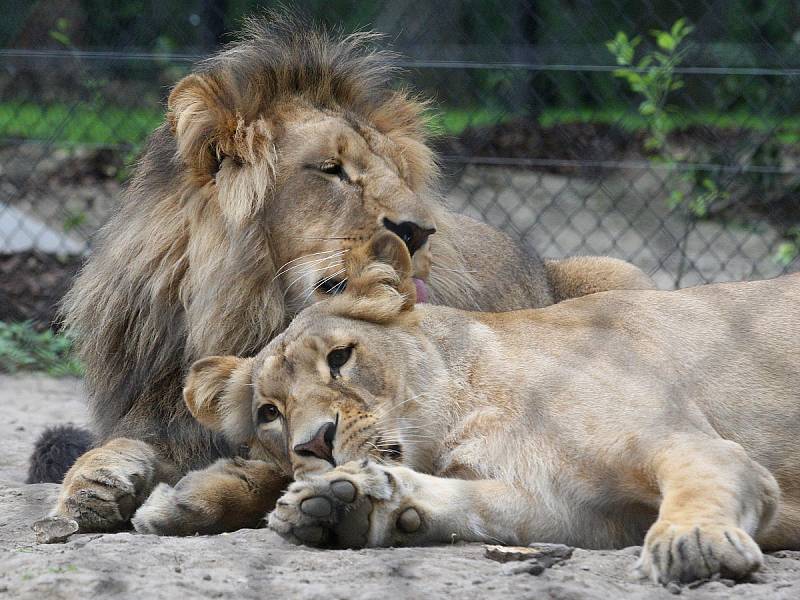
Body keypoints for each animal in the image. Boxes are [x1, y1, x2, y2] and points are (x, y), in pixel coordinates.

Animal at [43, 12, 652, 528]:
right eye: (332, 170)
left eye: (395, 172)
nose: (419, 230)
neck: (240, 317)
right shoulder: (157, 412)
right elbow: (115, 447)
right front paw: (92, 486)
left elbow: (282, 471)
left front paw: (197, 497)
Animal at [158, 232, 800, 584]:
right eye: (269, 412)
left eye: (340, 358)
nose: (313, 443)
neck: (463, 419)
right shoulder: (585, 513)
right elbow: (484, 508)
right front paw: (348, 505)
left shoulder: (688, 443)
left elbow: (702, 480)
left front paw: (695, 541)